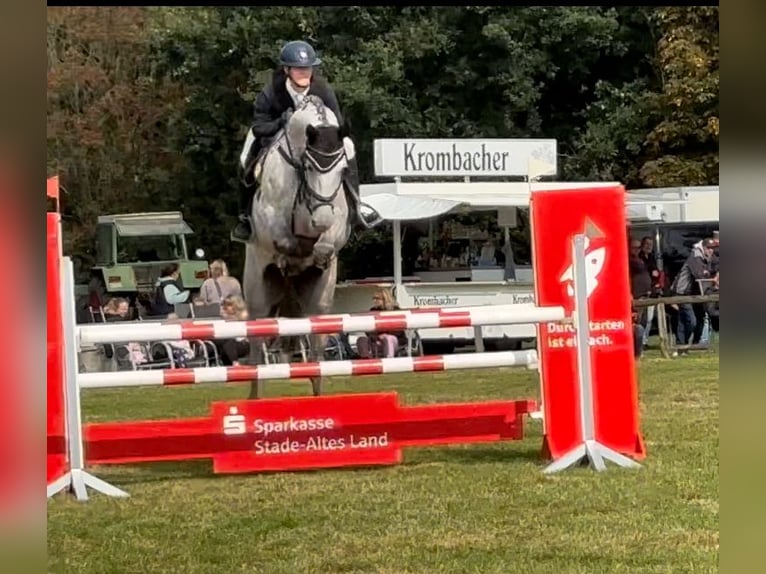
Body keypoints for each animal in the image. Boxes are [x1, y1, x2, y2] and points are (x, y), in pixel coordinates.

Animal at [243, 94, 356, 400]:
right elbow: (284, 241)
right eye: (309, 166)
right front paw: (290, 258)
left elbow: (326, 244)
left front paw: (317, 254)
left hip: (320, 303)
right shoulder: (269, 218)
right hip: (257, 293)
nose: (321, 219)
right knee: (256, 348)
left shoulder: (337, 222)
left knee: (316, 346)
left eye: (343, 170)